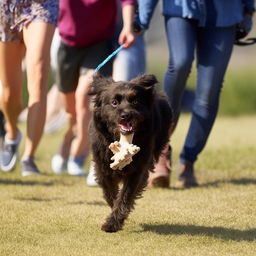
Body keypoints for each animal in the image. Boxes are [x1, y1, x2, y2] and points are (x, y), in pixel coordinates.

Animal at [88, 73, 172, 232]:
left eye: (135, 101)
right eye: (114, 102)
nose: (126, 115)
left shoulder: (137, 170)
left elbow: (125, 196)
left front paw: (113, 223)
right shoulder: (102, 167)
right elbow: (110, 193)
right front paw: (114, 214)